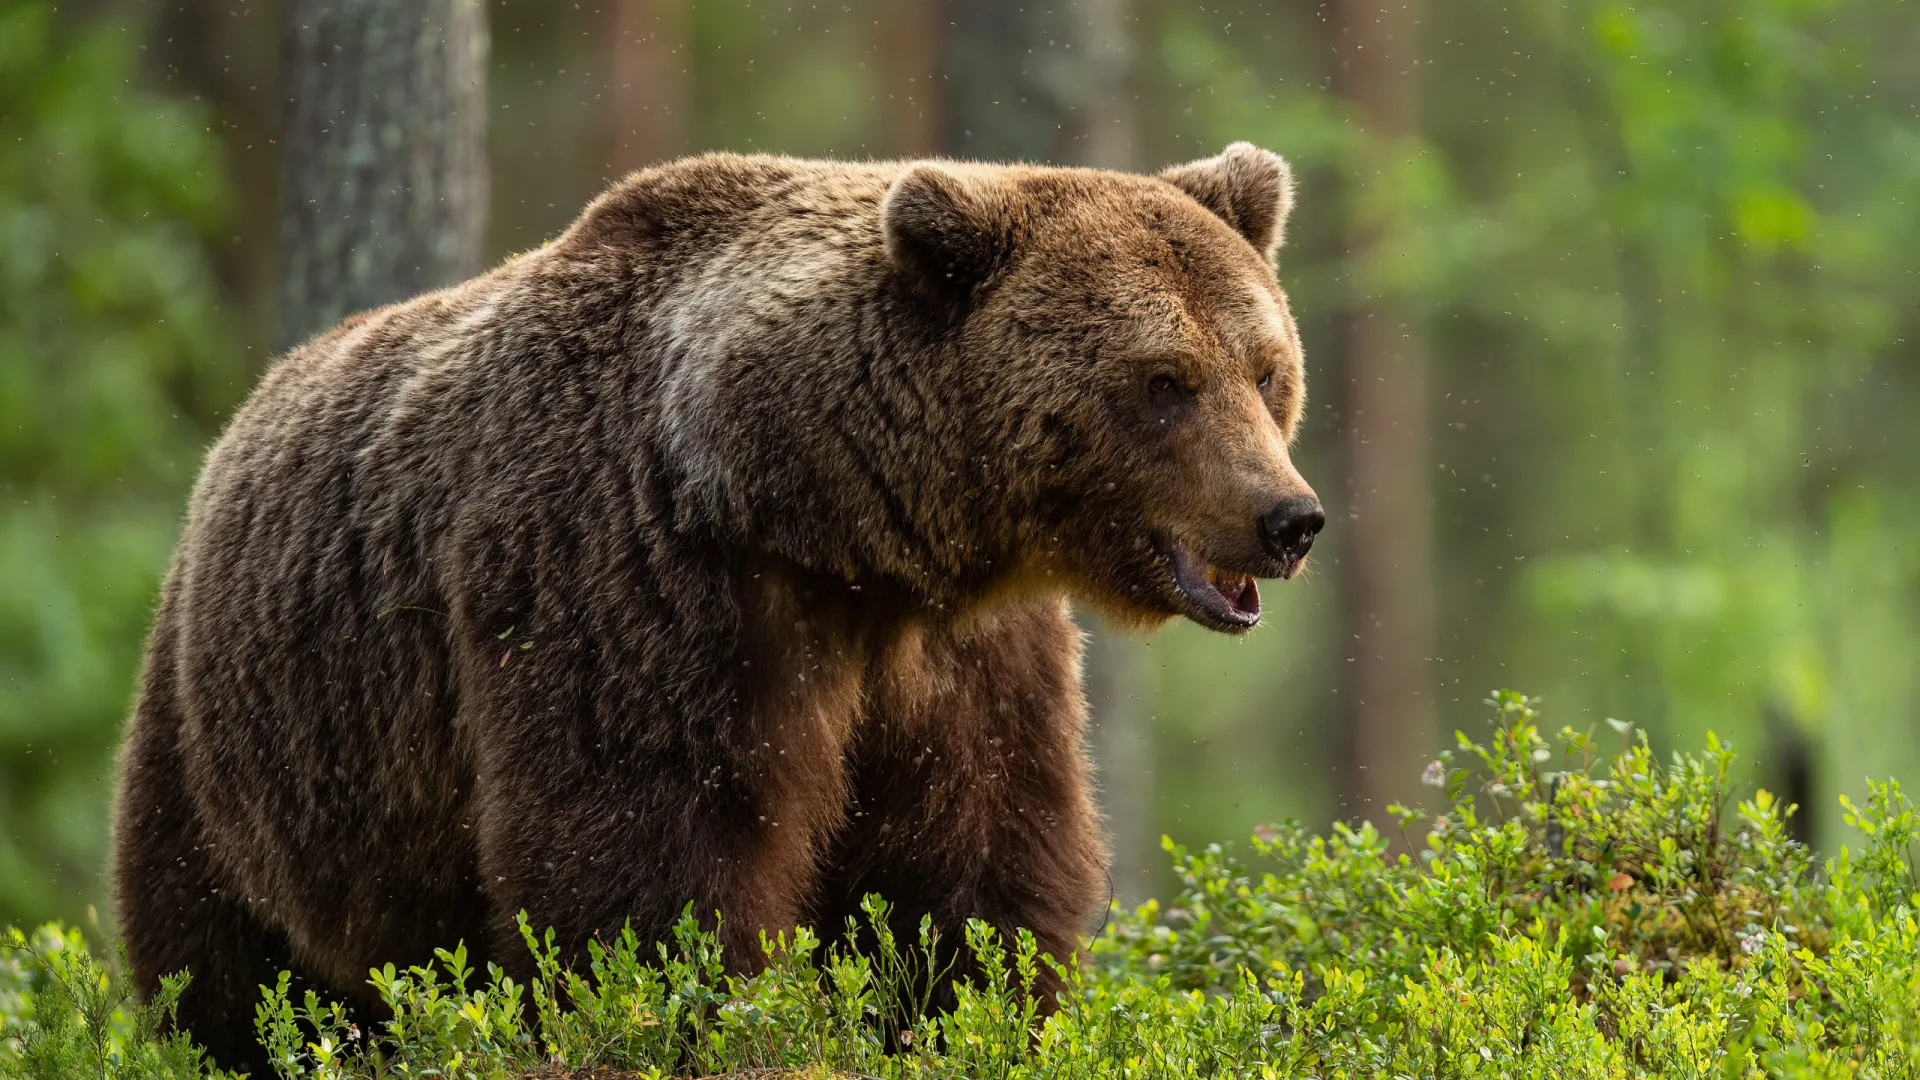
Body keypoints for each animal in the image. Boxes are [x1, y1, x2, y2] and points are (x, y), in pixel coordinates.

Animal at [112, 143, 1324, 1074]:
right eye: (1164, 382)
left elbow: (975, 871)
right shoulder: (638, 581)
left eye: (1265, 370)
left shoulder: (958, 656)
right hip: (244, 750)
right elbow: (648, 870)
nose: (1289, 518)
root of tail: (235, 429)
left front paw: (966, 1015)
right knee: (225, 968)